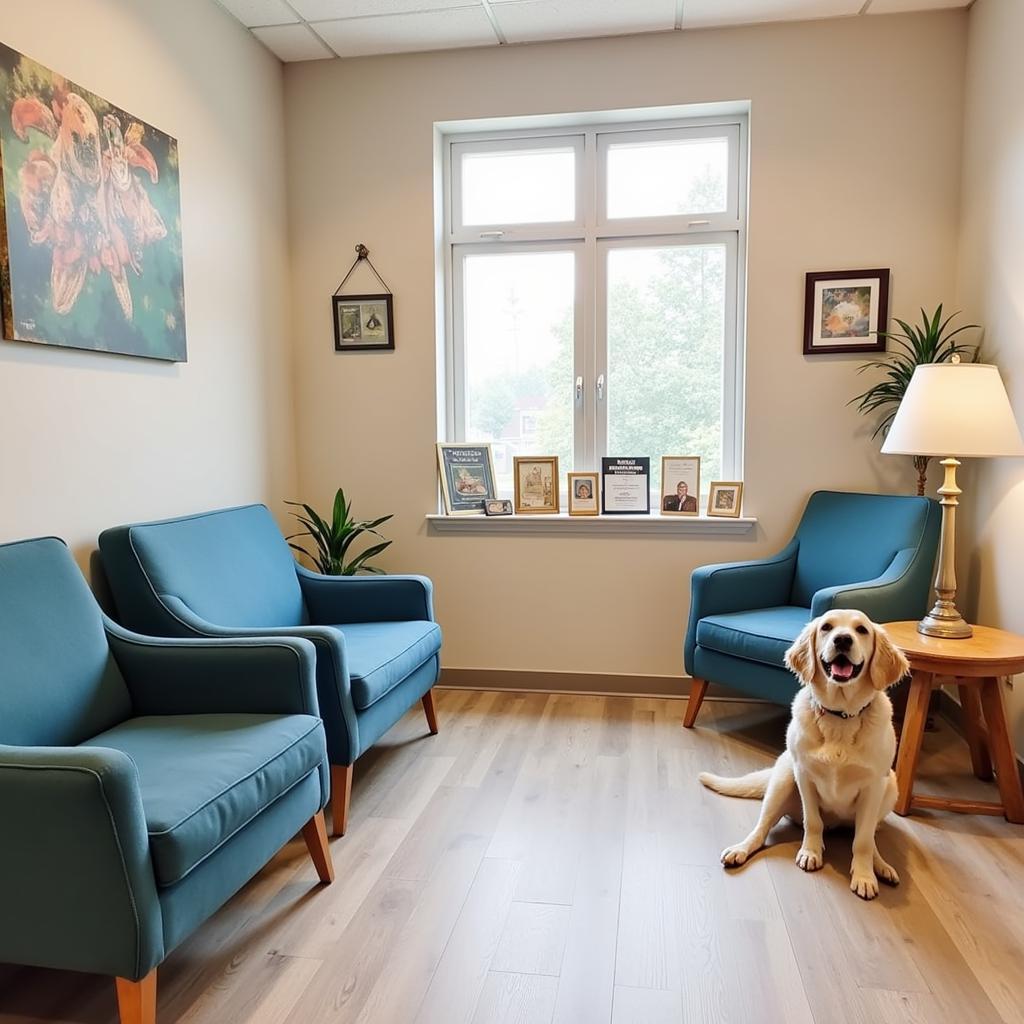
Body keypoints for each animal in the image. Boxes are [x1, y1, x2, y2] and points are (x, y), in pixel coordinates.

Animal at [700, 610, 909, 901]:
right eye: (827, 627)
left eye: (862, 630)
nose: (842, 640)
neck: (840, 716)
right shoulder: (804, 775)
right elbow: (813, 822)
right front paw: (810, 852)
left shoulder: (873, 785)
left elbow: (863, 841)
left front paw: (864, 875)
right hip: (783, 779)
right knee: (761, 828)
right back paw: (740, 849)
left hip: (890, 787)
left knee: (868, 835)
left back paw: (881, 866)